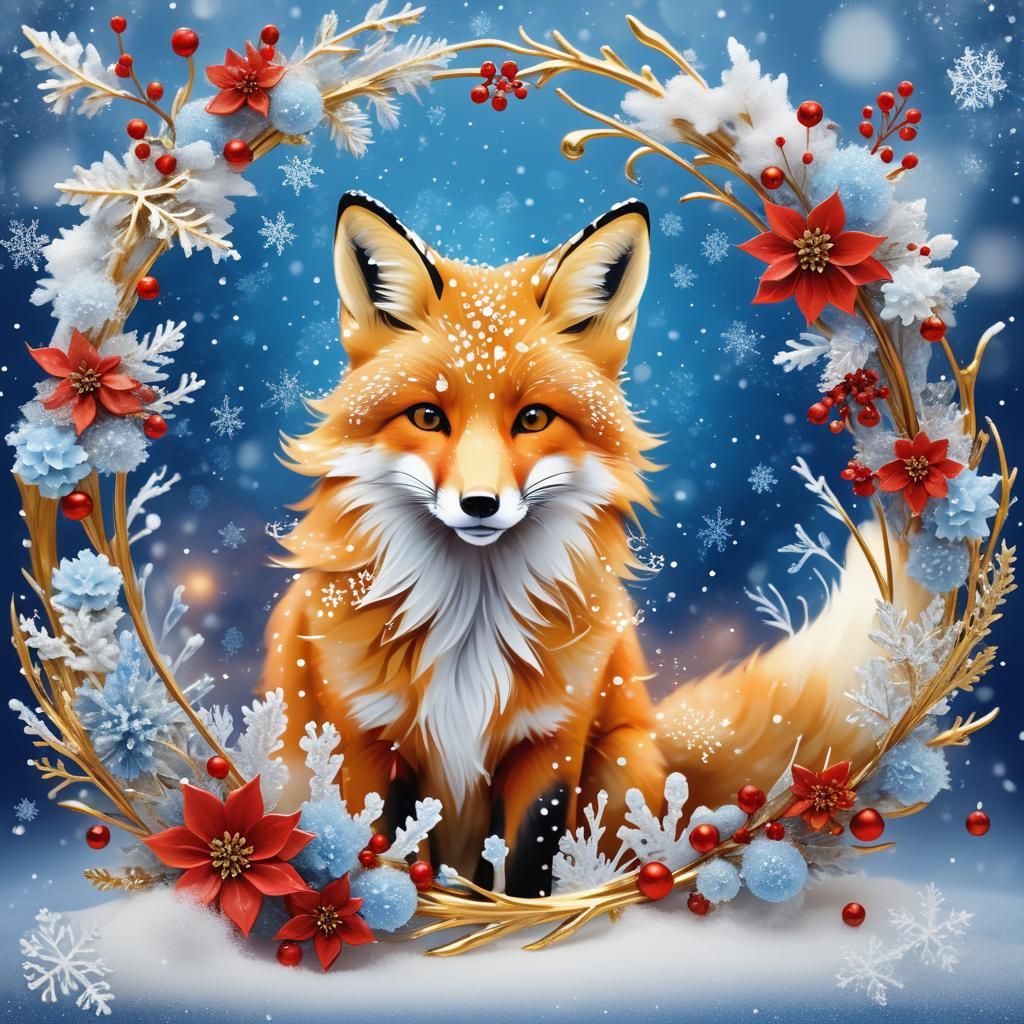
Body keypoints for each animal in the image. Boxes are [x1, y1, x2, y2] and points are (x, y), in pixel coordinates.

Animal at [263, 191, 929, 895]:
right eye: (427, 416)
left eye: (533, 418)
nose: (480, 505)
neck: (468, 628)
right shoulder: (364, 743)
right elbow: (378, 848)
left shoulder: (552, 746)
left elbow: (527, 869)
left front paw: (523, 913)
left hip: (621, 760)